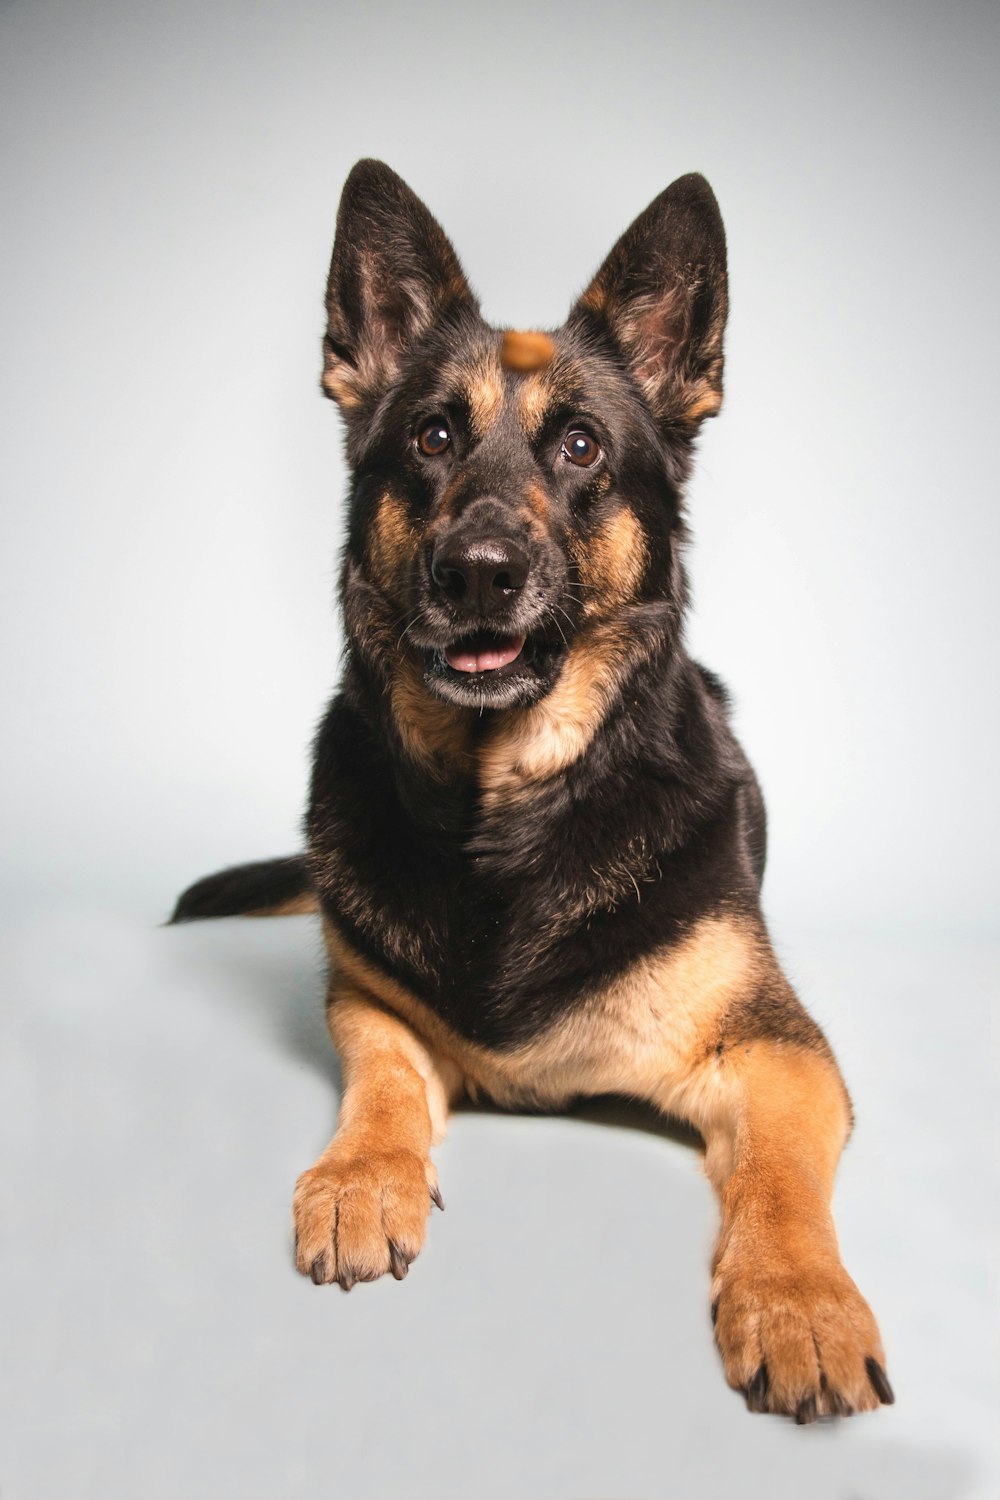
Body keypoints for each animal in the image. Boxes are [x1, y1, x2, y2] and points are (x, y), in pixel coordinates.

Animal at [167, 158, 893, 1422]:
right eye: (432, 435)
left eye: (583, 449)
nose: (477, 574)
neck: (501, 814)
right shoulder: (372, 1009)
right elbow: (383, 1089)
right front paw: (361, 1178)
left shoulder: (780, 1056)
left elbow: (780, 1184)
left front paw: (798, 1301)